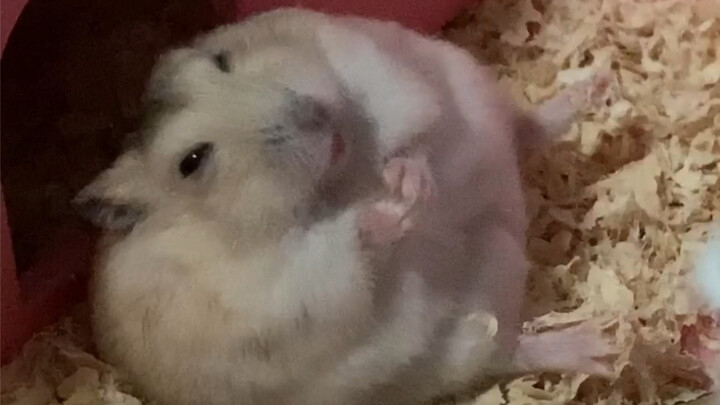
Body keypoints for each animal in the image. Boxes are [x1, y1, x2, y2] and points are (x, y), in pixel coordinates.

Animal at [76, 8, 616, 405]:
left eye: (222, 61)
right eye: (191, 162)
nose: (316, 116)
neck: (340, 176)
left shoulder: (372, 65)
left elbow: (412, 125)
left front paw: (408, 182)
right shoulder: (266, 299)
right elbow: (331, 262)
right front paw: (392, 211)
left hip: (477, 99)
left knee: (521, 129)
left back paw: (592, 89)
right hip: (458, 344)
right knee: (505, 351)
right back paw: (597, 348)